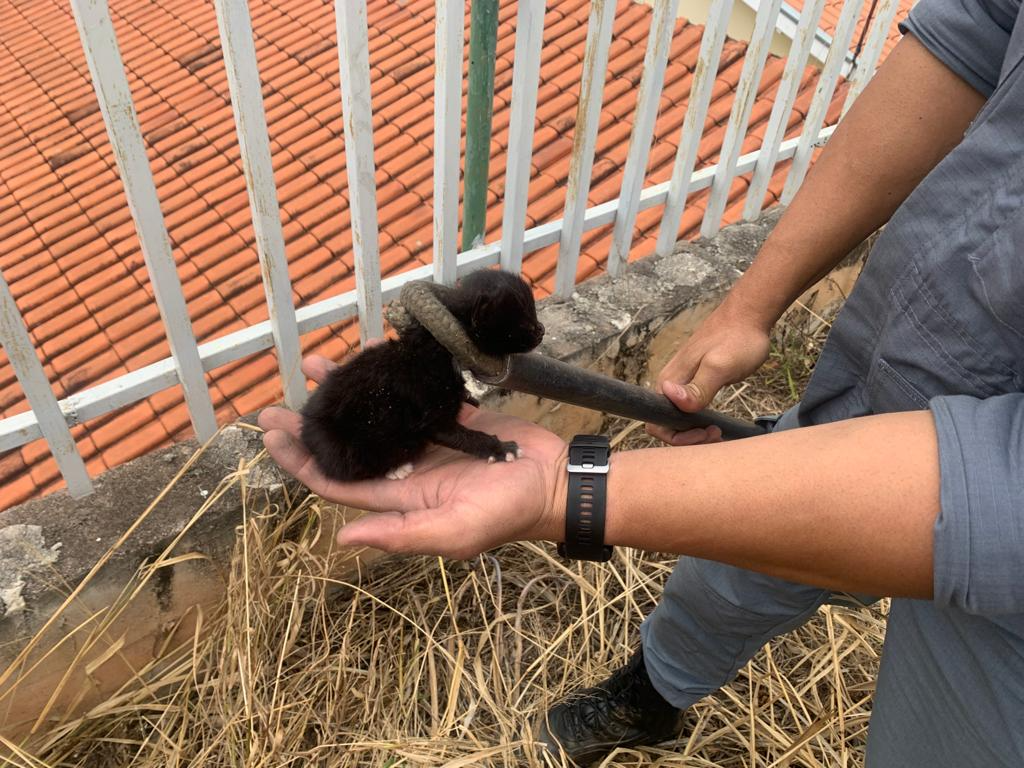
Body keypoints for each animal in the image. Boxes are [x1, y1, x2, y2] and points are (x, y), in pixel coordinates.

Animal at [299, 272, 548, 481]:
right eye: (525, 324)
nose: (542, 329)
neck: (438, 348)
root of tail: (306, 429)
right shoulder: (431, 412)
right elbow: (461, 435)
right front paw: (500, 449)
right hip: (348, 446)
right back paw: (397, 467)